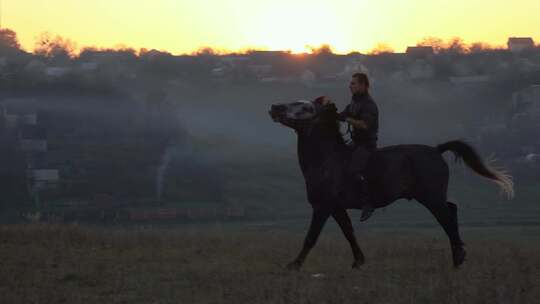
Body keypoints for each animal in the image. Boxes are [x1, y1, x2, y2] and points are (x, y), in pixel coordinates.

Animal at [270, 101, 516, 270]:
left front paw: (294, 265)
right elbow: (349, 232)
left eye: (304, 107)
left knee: (447, 218)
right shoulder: (336, 208)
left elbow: (311, 237)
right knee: (452, 211)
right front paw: (358, 261)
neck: (328, 159)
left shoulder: (322, 207)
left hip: (431, 197)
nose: (274, 107)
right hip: (433, 197)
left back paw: (459, 258)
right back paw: (457, 257)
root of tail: (437, 150)